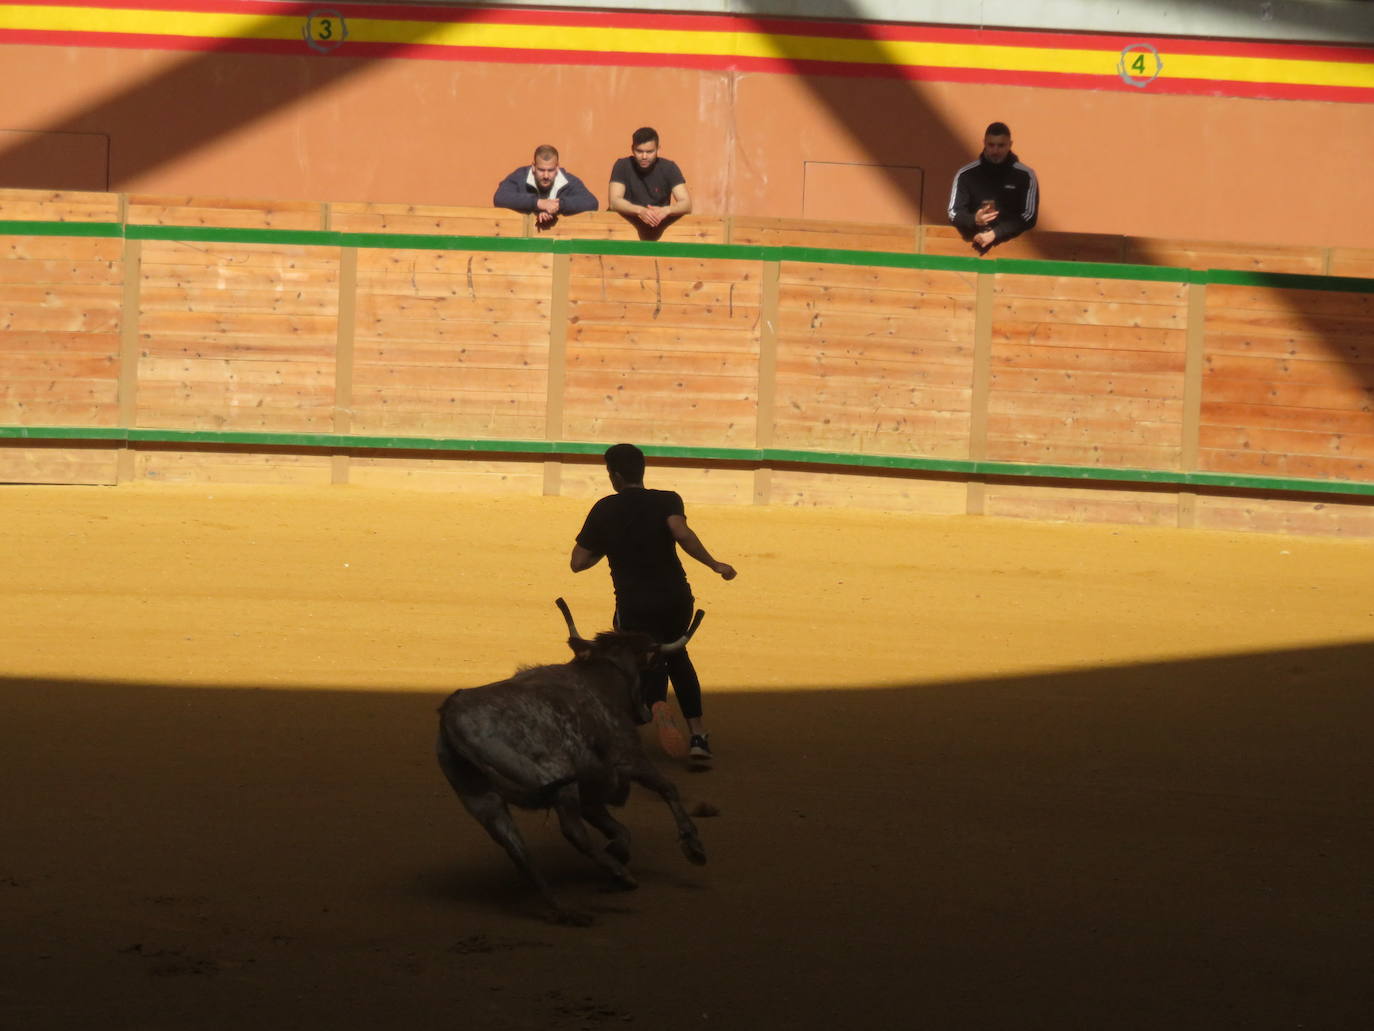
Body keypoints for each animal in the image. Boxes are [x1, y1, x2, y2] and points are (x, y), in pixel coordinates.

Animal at [434, 596, 708, 929]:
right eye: (651, 667)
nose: (644, 714)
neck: (601, 677)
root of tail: (451, 715)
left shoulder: (591, 793)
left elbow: (620, 829)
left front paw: (618, 851)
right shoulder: (628, 759)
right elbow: (667, 788)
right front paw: (692, 846)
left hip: (483, 801)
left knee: (520, 853)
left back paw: (568, 908)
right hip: (556, 778)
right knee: (571, 831)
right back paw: (621, 876)